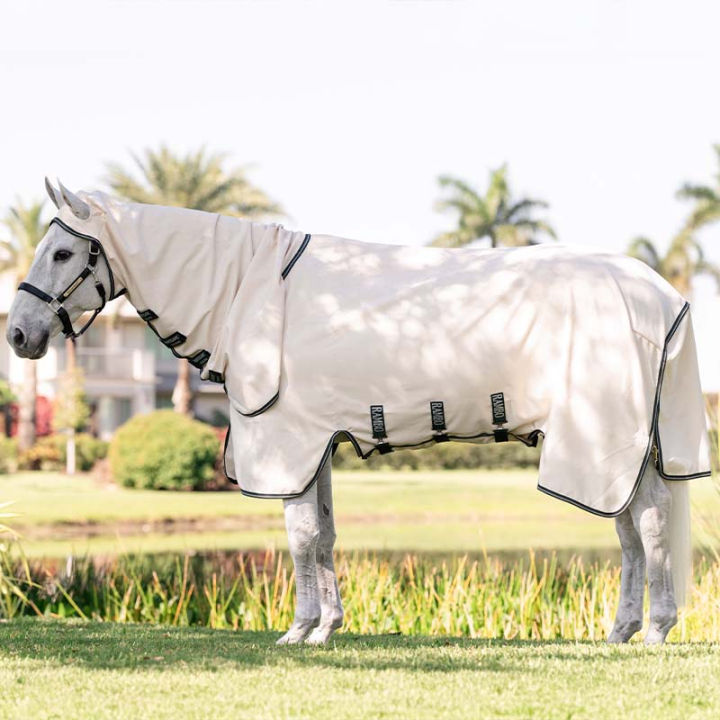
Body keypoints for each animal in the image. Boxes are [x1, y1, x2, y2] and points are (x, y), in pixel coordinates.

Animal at [6, 179, 711, 645]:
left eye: (64, 253)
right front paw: (326, 627)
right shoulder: (315, 445)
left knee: (646, 523)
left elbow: (299, 536)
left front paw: (300, 632)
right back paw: (622, 631)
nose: (18, 335)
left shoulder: (288, 443)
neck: (243, 291)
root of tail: (662, 295)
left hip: (602, 443)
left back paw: (653, 632)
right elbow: (323, 534)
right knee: (632, 528)